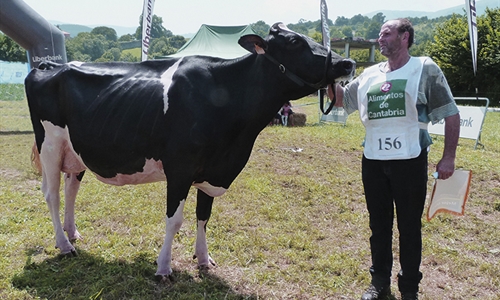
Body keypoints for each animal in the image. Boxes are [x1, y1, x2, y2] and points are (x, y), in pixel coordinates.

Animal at [25, 23, 354, 282]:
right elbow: (175, 219)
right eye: (295, 42)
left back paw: (72, 233)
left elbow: (204, 216)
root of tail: (49, 66)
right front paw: (164, 268)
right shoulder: (180, 168)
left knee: (71, 189)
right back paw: (64, 245)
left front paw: (204, 259)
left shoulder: (211, 171)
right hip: (50, 144)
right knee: (52, 194)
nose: (348, 63)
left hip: (76, 151)